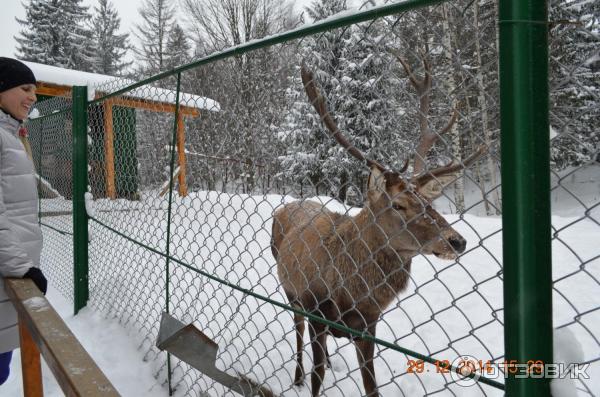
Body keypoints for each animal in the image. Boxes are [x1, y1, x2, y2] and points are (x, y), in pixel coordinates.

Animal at [274, 57, 488, 394]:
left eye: (429, 203)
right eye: (398, 205)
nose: (457, 240)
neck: (350, 295)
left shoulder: (369, 327)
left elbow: (371, 385)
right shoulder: (316, 311)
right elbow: (317, 374)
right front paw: (309, 378)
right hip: (290, 293)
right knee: (297, 333)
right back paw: (296, 376)